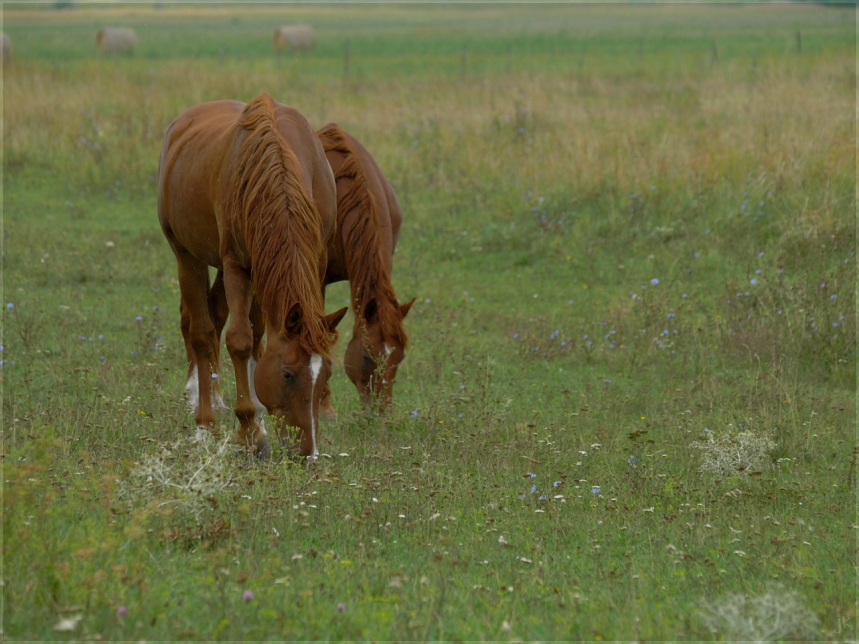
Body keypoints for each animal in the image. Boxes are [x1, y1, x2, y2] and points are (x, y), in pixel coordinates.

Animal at [160, 94, 348, 458]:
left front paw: (260, 418)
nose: (308, 453)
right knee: (202, 332)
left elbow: (258, 336)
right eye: (288, 374)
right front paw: (249, 430)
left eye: (327, 373)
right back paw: (205, 422)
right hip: (187, 256)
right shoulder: (236, 265)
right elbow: (240, 340)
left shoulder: (310, 263)